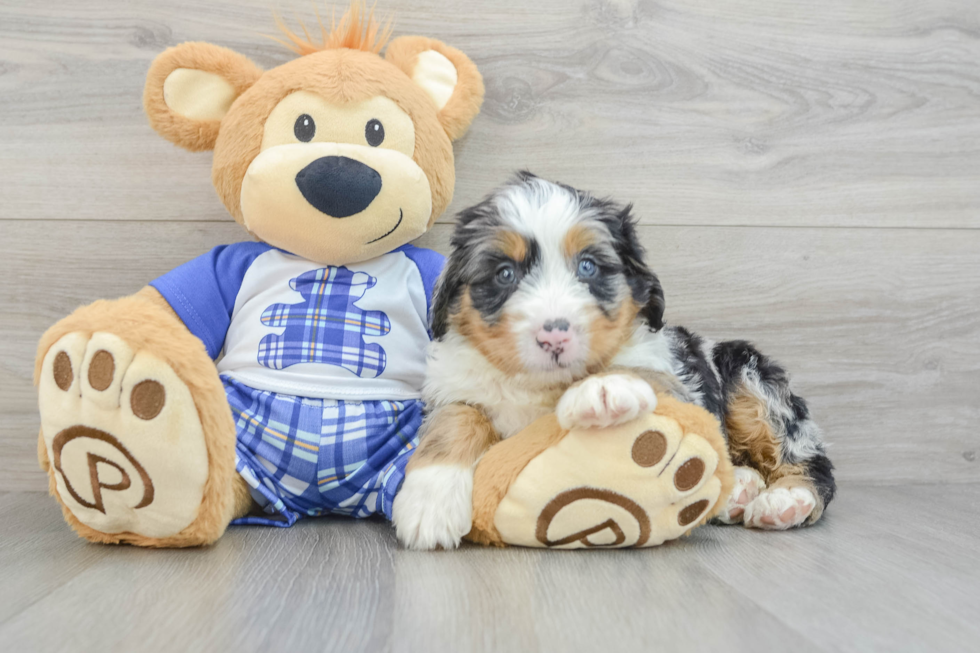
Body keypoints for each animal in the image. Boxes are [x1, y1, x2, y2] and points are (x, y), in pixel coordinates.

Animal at [390, 172, 836, 552]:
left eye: (588, 266)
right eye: (504, 273)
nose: (554, 335)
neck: (541, 386)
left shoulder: (677, 380)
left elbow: (633, 368)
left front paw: (602, 388)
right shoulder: (452, 386)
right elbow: (457, 418)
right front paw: (429, 503)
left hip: (748, 376)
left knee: (807, 457)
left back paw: (785, 500)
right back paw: (739, 489)